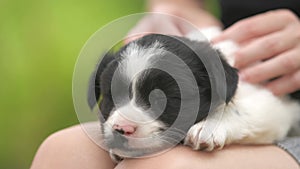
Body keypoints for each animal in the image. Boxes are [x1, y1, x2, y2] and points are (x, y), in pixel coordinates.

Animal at [87, 28, 300, 162]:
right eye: (110, 96)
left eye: (160, 98)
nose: (121, 129)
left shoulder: (277, 105)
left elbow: (239, 110)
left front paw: (208, 126)